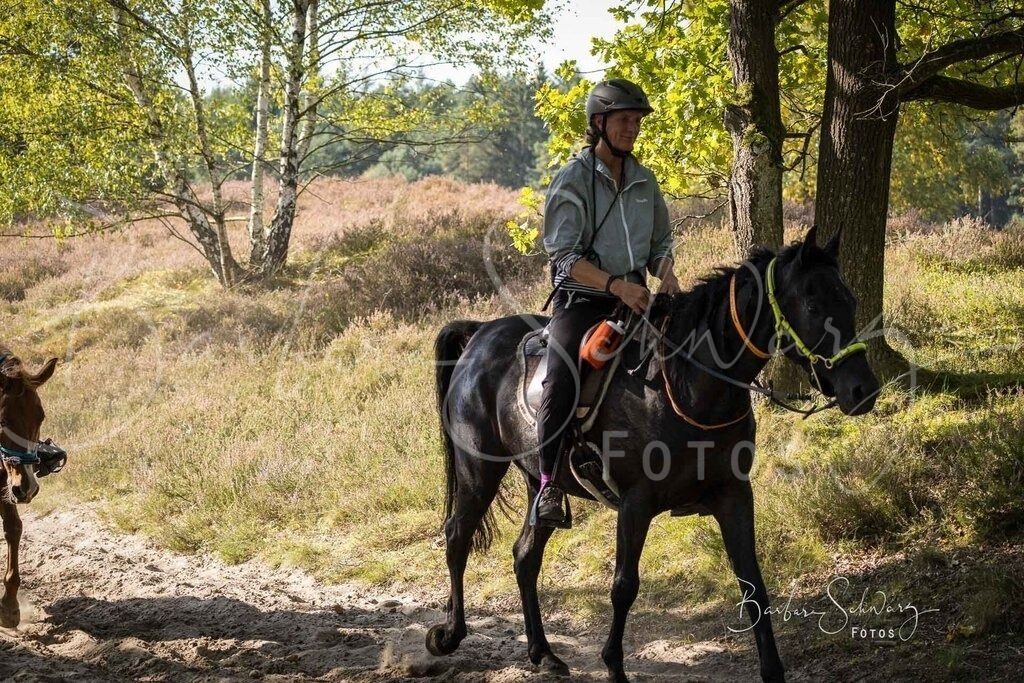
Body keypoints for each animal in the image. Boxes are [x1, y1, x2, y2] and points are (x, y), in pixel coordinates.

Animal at [426, 226, 880, 682]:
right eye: (812, 304)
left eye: (850, 300)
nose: (863, 390)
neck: (685, 385)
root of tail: (479, 337)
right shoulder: (636, 502)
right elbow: (624, 587)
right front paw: (614, 666)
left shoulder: (733, 494)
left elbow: (753, 583)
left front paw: (773, 670)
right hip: (478, 470)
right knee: (457, 536)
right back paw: (448, 635)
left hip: (539, 483)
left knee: (525, 556)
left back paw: (544, 653)